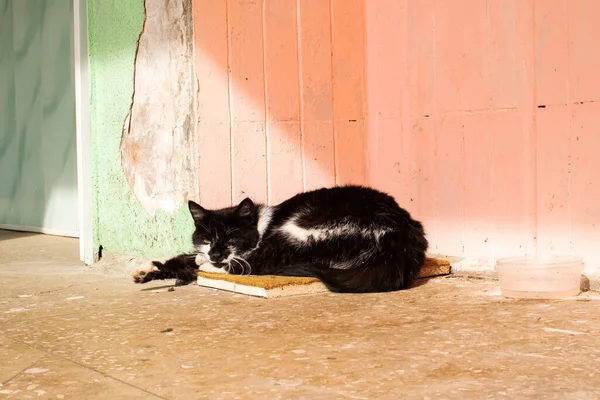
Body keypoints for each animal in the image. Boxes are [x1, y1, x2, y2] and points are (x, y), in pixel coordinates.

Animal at [134, 185, 428, 294]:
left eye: (231, 237)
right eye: (207, 238)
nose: (216, 254)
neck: (260, 223)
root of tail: (402, 235)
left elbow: (241, 264)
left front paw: (202, 265)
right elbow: (183, 258)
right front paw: (146, 272)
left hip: (300, 228)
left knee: (263, 263)